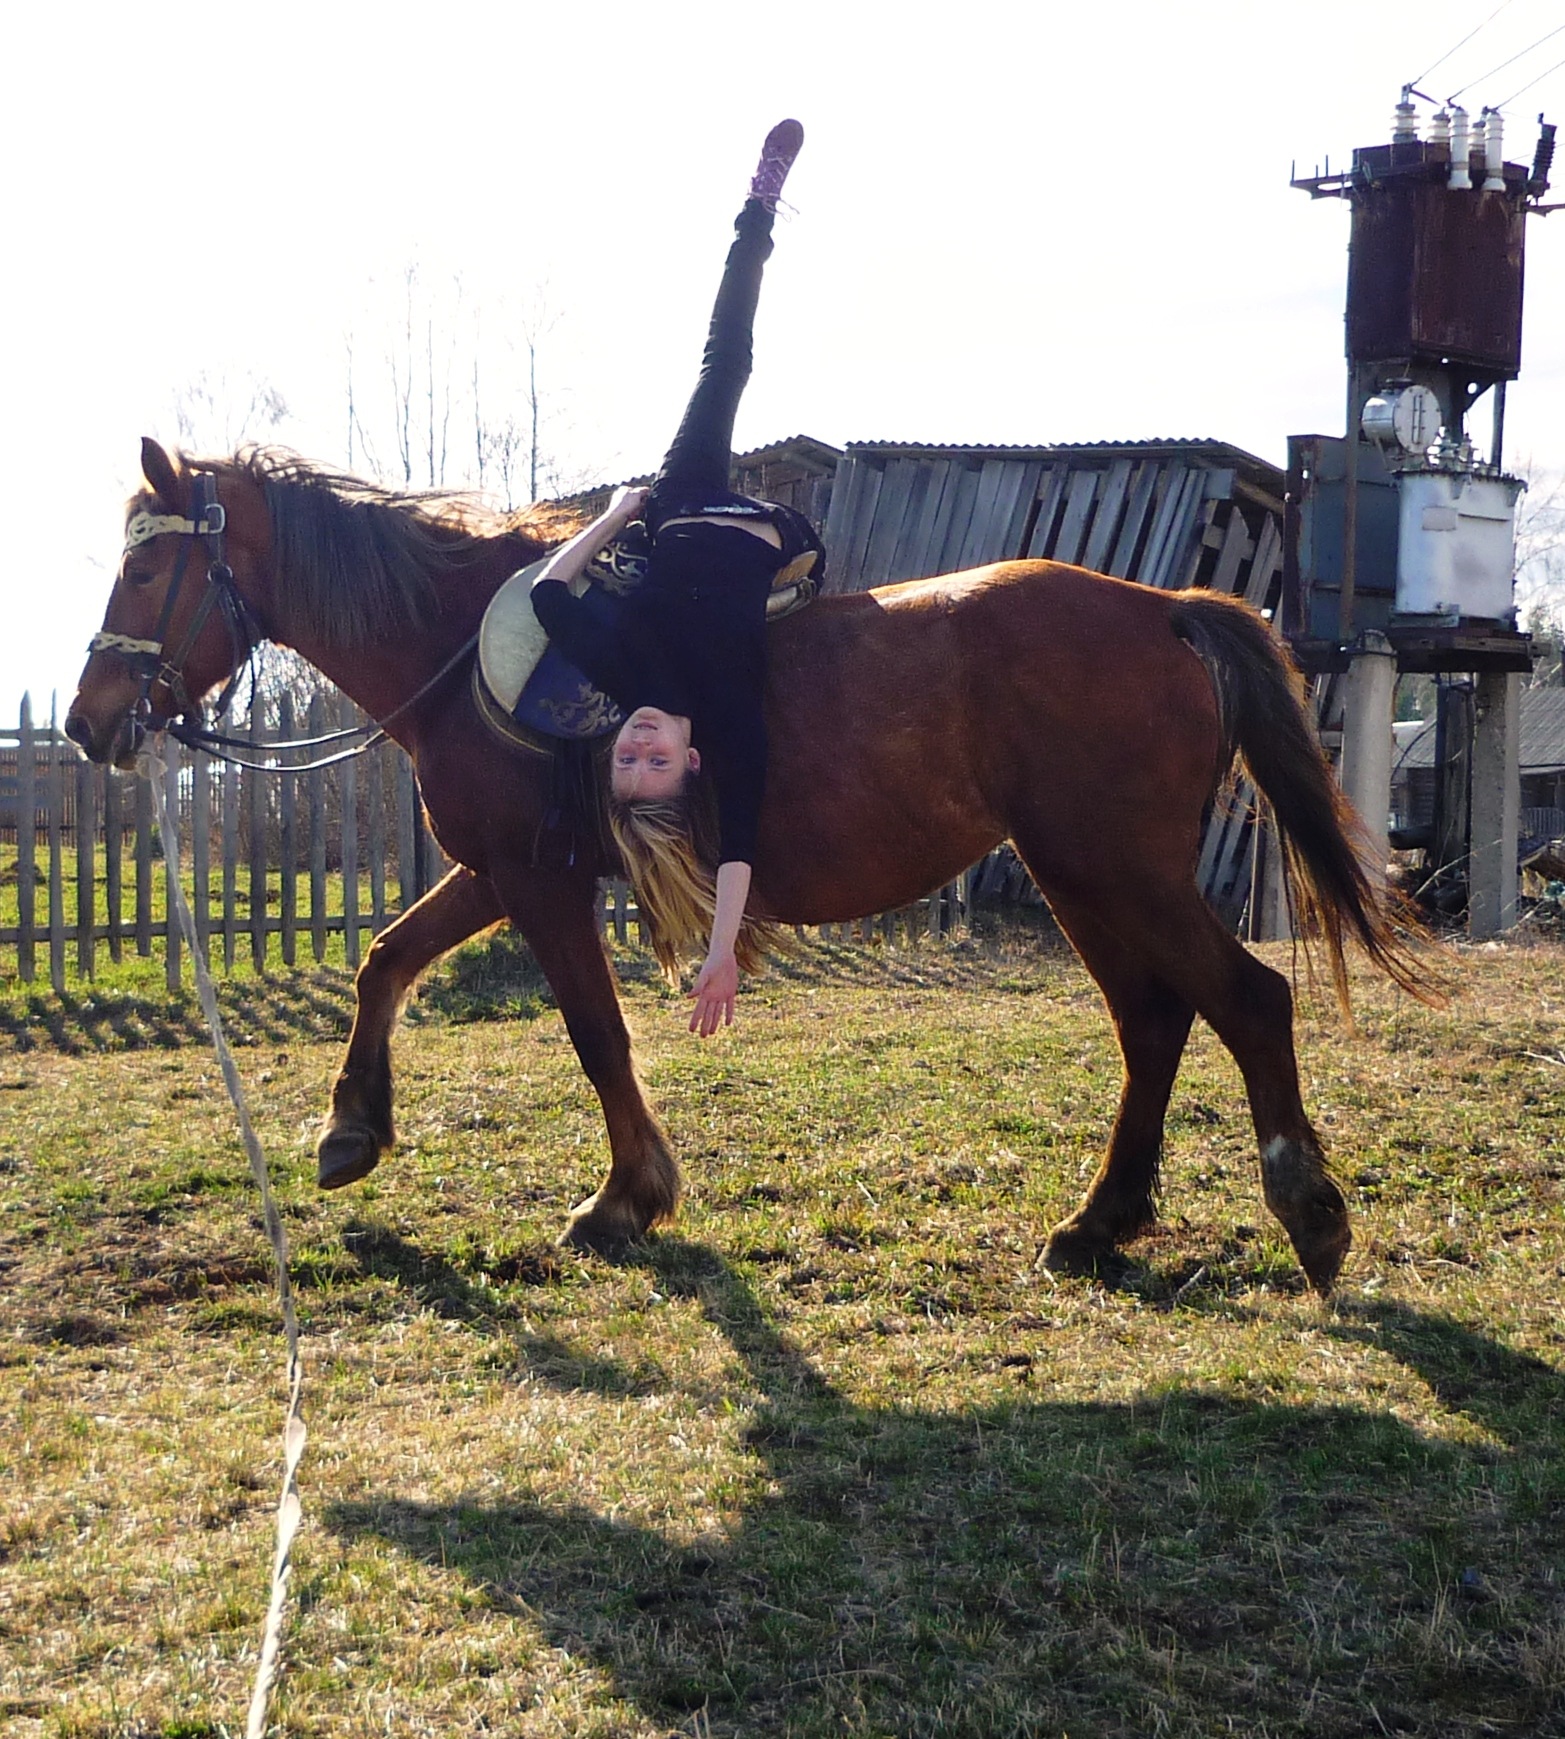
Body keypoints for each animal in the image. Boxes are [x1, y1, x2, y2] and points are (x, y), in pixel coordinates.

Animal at [65, 438, 1435, 1295]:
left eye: (144, 564)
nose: (87, 721)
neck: (468, 645)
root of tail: (1163, 607)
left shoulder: (537, 879)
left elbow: (593, 1032)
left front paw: (627, 1195)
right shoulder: (504, 869)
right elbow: (384, 957)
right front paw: (353, 1127)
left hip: (1113, 870)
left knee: (1246, 1000)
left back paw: (1305, 1211)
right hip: (1082, 877)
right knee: (1153, 1024)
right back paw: (1098, 1224)